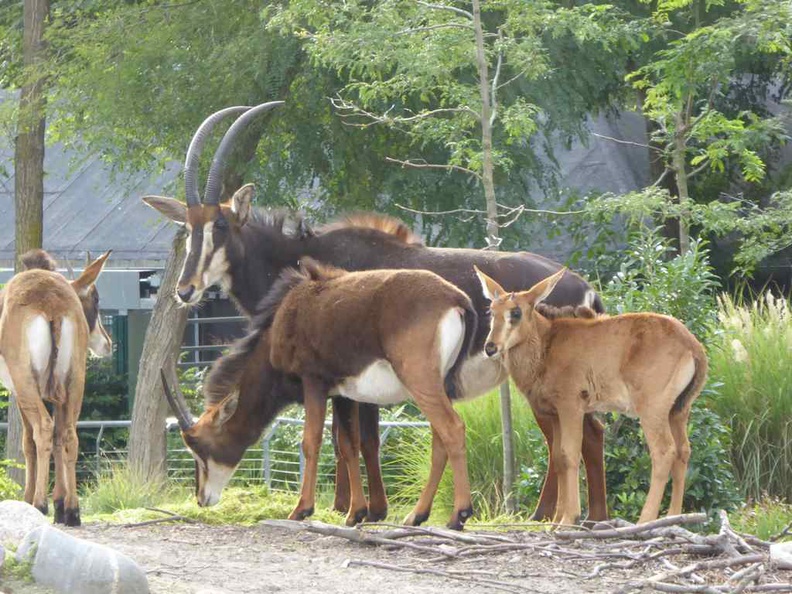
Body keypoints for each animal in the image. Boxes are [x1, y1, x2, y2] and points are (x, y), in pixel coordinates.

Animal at [0, 249, 113, 524]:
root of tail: (51, 300)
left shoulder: (18, 391)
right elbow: (60, 436)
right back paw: (73, 510)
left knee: (43, 429)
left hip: (26, 381)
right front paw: (60, 503)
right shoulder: (56, 392)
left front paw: (31, 500)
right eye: (95, 298)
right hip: (75, 379)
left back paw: (39, 504)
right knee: (69, 433)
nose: (107, 344)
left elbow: (28, 441)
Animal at [145, 103, 608, 524]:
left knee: (567, 436)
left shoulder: (344, 376)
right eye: (188, 228)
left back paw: (551, 514)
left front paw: (359, 509)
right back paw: (586, 515)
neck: (295, 255)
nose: (185, 289)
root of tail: (584, 287)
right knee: (585, 433)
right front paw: (356, 507)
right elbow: (350, 440)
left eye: (220, 226)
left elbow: (353, 440)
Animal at [474, 268, 708, 524]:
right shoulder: (556, 414)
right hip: (678, 411)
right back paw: (674, 517)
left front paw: (568, 518)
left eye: (515, 312)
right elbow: (558, 458)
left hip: (652, 410)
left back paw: (645, 520)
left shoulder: (571, 407)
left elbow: (570, 455)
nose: (490, 347)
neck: (547, 344)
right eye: (491, 311)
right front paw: (557, 519)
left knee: (664, 452)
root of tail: (693, 346)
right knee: (683, 451)